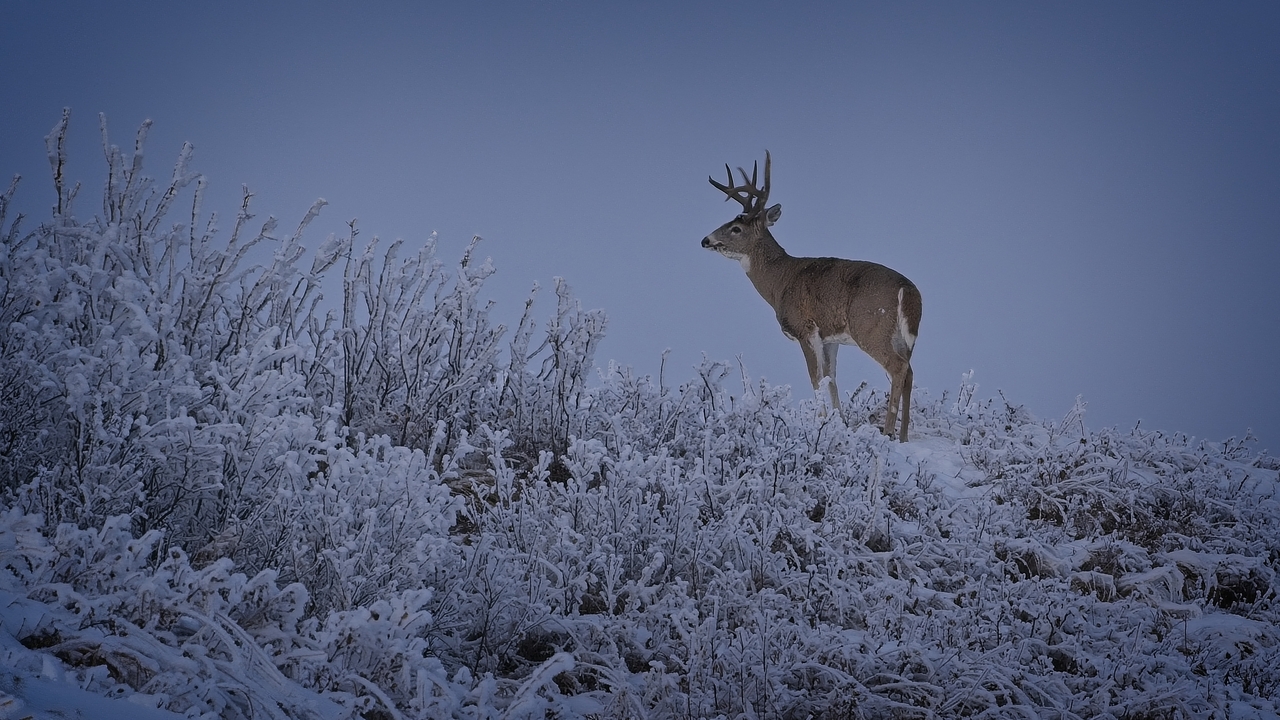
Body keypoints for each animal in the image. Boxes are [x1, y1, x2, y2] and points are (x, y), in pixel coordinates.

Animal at [701, 152, 923, 441]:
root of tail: (908, 291)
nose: (705, 240)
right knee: (910, 371)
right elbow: (831, 377)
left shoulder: (804, 328)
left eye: (736, 228)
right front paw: (839, 422)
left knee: (898, 368)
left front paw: (820, 422)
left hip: (870, 326)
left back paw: (887, 432)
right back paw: (904, 435)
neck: (780, 281)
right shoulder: (830, 337)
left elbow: (815, 378)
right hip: (902, 338)